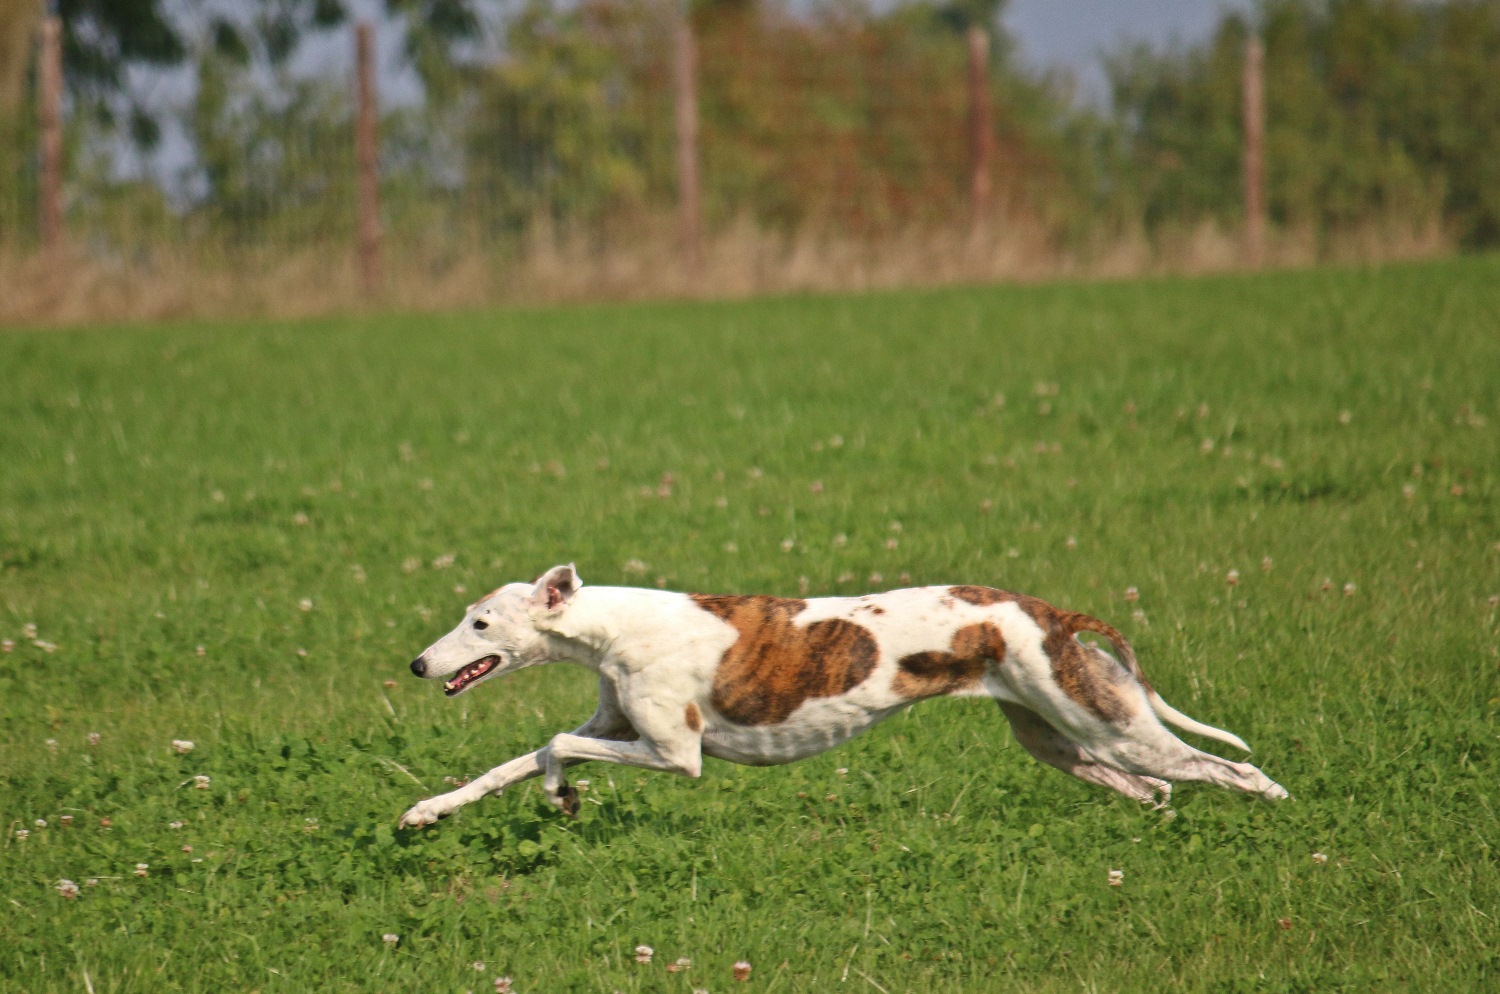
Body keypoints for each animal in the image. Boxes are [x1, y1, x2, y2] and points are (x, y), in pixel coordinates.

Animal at [402, 563, 1290, 827]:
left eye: (480, 623)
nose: (416, 663)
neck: (616, 625)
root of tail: (1050, 612)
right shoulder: (617, 725)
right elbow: (510, 762)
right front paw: (426, 812)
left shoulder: (676, 754)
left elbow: (553, 746)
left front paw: (562, 794)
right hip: (1058, 739)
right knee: (1152, 788)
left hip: (1106, 724)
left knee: (1229, 770)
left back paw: (1280, 811)